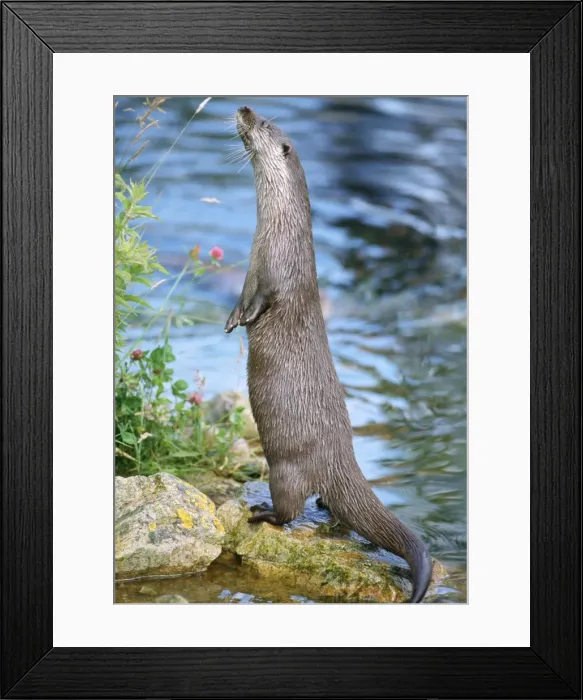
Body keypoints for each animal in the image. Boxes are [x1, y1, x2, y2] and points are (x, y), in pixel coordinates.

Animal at [224, 106, 433, 603]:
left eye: (263, 124)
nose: (244, 109)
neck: (275, 234)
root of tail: (342, 459)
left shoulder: (275, 277)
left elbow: (263, 303)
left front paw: (246, 321)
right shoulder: (249, 273)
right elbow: (240, 301)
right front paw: (229, 321)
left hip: (285, 468)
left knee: (289, 508)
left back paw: (263, 512)